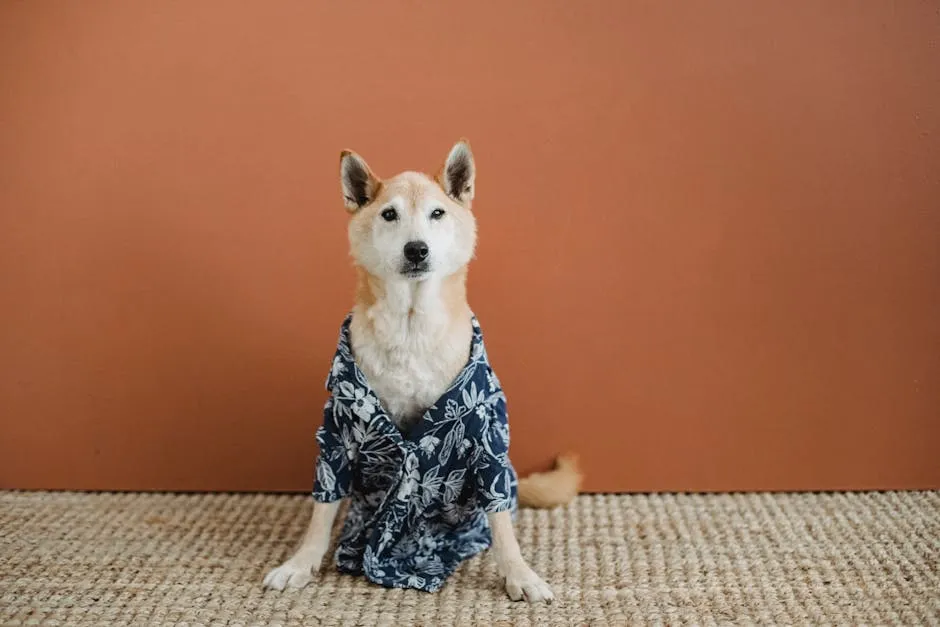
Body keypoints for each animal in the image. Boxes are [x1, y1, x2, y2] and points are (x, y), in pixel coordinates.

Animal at [260, 140, 576, 600]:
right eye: (389, 214)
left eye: (437, 213)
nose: (416, 249)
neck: (410, 326)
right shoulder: (339, 431)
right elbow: (322, 508)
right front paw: (300, 563)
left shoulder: (483, 433)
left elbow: (500, 521)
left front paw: (519, 573)